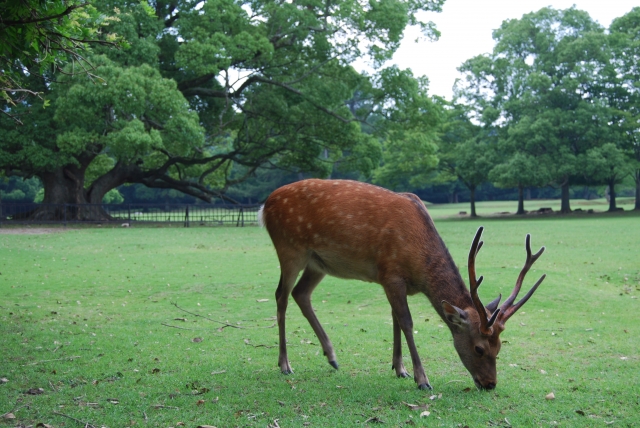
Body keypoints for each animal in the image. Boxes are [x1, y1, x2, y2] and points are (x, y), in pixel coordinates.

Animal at [258, 179, 548, 390]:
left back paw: (332, 356)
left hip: (318, 263)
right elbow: (407, 322)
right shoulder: (391, 274)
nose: (490, 384)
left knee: (301, 293)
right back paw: (285, 364)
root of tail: (265, 205)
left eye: (500, 347)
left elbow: (395, 319)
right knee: (281, 295)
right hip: (289, 248)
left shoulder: (393, 282)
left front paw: (400, 369)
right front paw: (422, 379)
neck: (418, 266)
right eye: (479, 348)